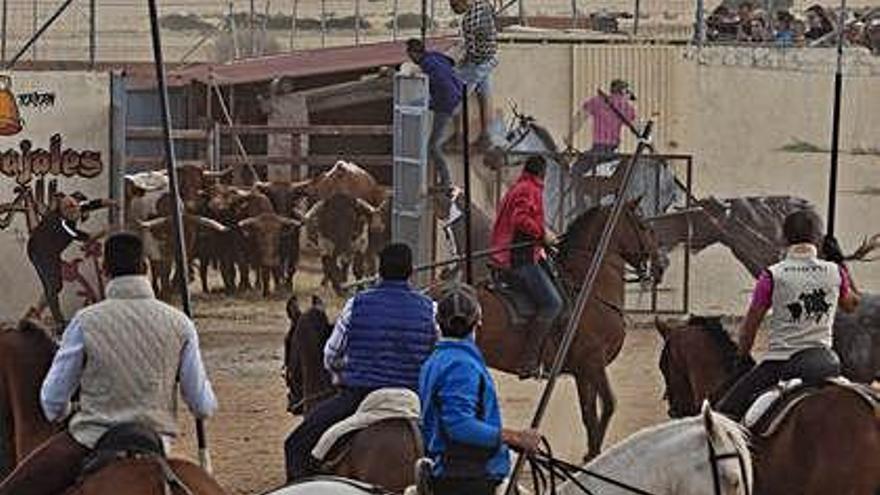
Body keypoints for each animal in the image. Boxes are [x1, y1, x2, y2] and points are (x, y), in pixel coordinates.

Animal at [470, 202, 664, 462]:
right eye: (643, 227)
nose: (660, 267)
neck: (588, 289)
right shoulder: (593, 362)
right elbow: (608, 404)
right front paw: (594, 455)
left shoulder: (583, 371)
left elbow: (589, 413)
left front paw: (591, 453)